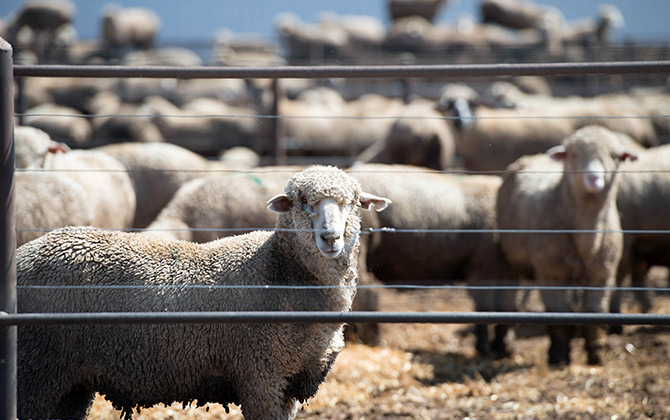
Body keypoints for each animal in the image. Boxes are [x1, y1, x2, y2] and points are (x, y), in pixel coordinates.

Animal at [17, 165, 390, 420]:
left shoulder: (291, 383)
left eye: (353, 203)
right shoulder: (261, 375)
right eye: (302, 202)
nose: (330, 237)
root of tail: (23, 255)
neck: (278, 272)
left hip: (72, 385)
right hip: (36, 370)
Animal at [497, 125, 639, 366]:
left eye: (614, 156)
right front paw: (559, 356)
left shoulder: (602, 274)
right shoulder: (551, 273)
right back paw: (502, 345)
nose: (593, 177)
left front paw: (596, 356)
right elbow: (560, 315)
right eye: (573, 155)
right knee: (506, 299)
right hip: (511, 262)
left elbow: (594, 314)